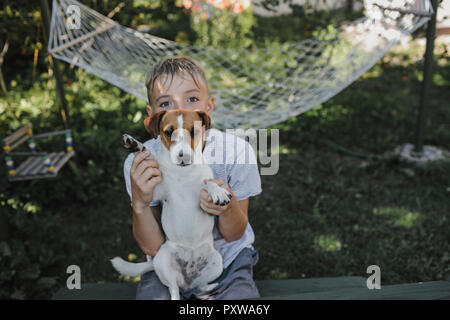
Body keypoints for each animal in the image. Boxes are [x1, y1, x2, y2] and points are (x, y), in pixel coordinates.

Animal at [110, 109, 230, 300]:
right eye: (168, 132)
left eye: (194, 131)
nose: (183, 157)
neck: (183, 173)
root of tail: (187, 280)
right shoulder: (158, 191)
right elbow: (148, 156)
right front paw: (135, 145)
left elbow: (208, 183)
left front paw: (217, 190)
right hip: (164, 260)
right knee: (173, 288)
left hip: (217, 262)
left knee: (199, 284)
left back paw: (209, 287)